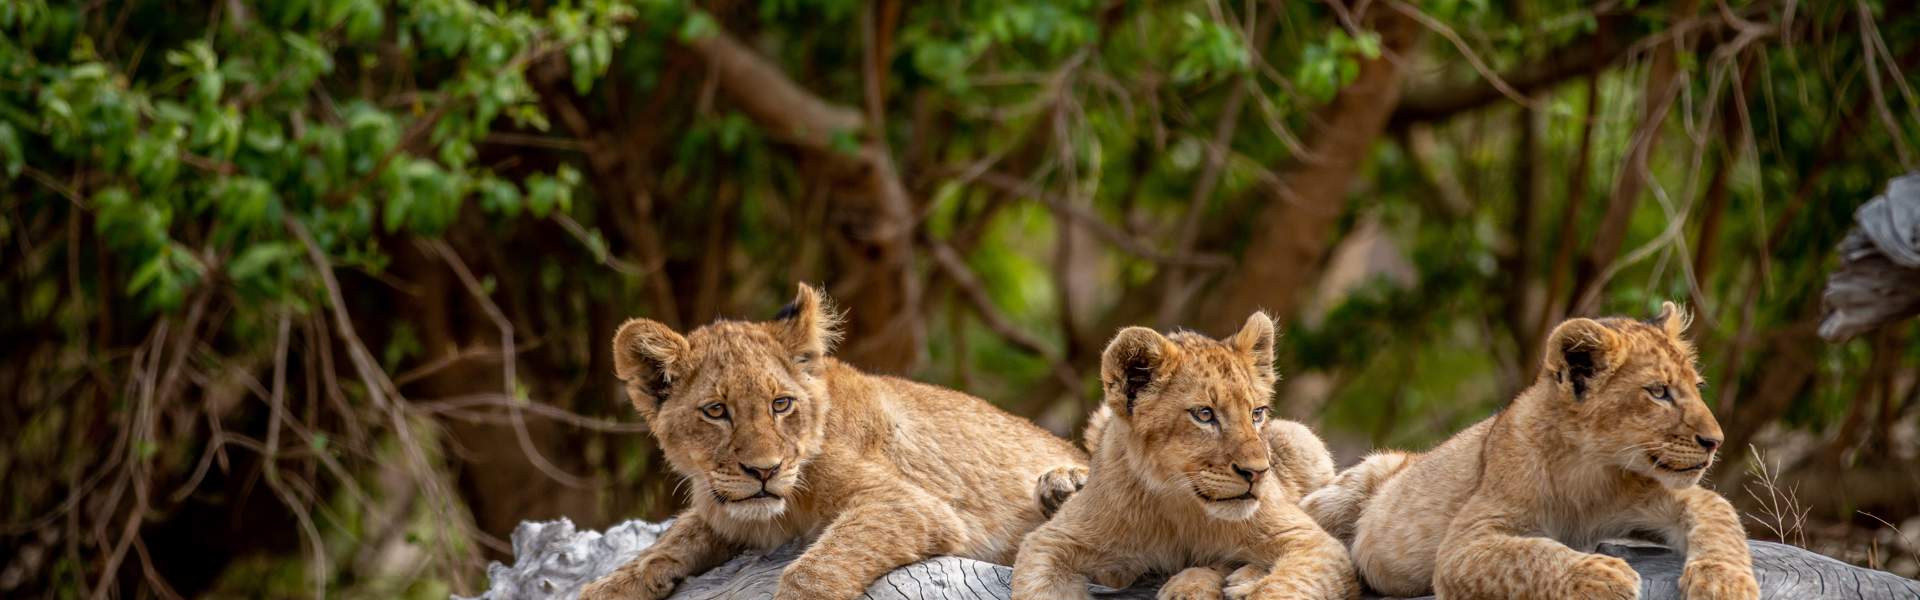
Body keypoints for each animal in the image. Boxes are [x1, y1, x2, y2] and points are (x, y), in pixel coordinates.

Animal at [580, 284, 1089, 600]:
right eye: (717, 411)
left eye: (781, 404)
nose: (763, 471)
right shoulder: (725, 507)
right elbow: (675, 536)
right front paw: (613, 583)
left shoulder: (912, 505)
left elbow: (813, 570)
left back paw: (1065, 483)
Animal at [1012, 313, 1355, 600]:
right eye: (1204, 415)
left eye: (1257, 413)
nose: (1259, 472)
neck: (1177, 505)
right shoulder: (1054, 541)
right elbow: (1038, 585)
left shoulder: (1314, 543)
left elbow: (1283, 587)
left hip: (1302, 441)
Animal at [1300, 302, 1759, 599]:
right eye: (1659, 392)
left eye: (1697, 387)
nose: (1716, 441)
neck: (1592, 471)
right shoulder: (1463, 546)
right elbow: (1531, 554)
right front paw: (1601, 572)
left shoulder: (1668, 497)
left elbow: (1720, 518)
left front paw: (1726, 581)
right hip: (1346, 490)